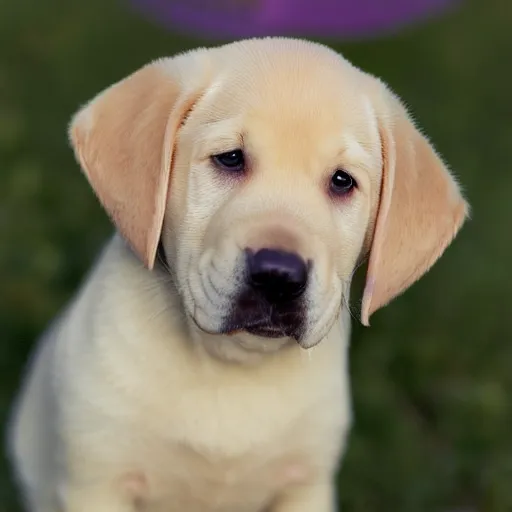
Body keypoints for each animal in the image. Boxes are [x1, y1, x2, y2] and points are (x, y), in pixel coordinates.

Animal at [7, 37, 468, 512]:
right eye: (230, 159)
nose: (279, 276)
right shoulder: (97, 479)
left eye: (342, 181)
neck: (230, 364)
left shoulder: (304, 484)